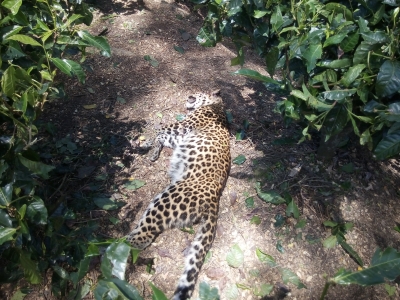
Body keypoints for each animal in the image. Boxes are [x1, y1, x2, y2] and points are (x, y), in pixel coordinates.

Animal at [126, 90, 230, 298]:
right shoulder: (179, 136)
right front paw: (152, 149)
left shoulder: (182, 125)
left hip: (168, 199)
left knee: (143, 237)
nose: (189, 95)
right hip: (163, 197)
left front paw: (147, 140)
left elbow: (160, 128)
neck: (216, 104)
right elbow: (161, 135)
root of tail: (215, 200)